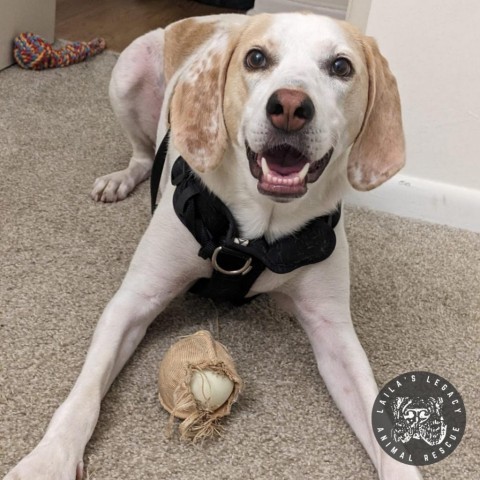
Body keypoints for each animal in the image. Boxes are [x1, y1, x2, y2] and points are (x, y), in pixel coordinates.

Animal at [3, 12, 424, 480]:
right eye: (256, 58)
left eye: (341, 66)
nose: (290, 108)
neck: (254, 235)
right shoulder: (133, 301)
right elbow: (84, 394)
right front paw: (48, 459)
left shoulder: (333, 329)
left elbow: (379, 418)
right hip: (126, 73)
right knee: (141, 155)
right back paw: (120, 179)